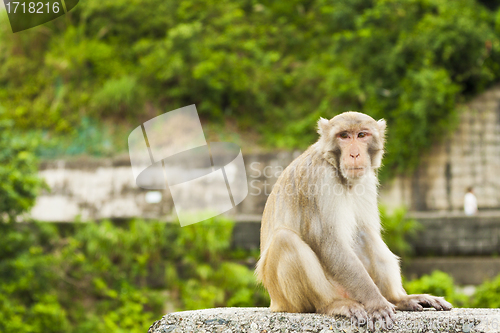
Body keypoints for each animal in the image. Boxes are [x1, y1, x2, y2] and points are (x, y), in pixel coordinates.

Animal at [256, 111, 452, 326]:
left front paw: (389, 299)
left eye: (361, 135)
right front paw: (376, 302)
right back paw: (333, 304)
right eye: (344, 136)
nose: (355, 154)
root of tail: (274, 303)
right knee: (284, 240)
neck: (336, 168)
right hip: (288, 299)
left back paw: (397, 299)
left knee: (365, 235)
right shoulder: (319, 179)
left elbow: (362, 232)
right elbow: (329, 243)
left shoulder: (366, 180)